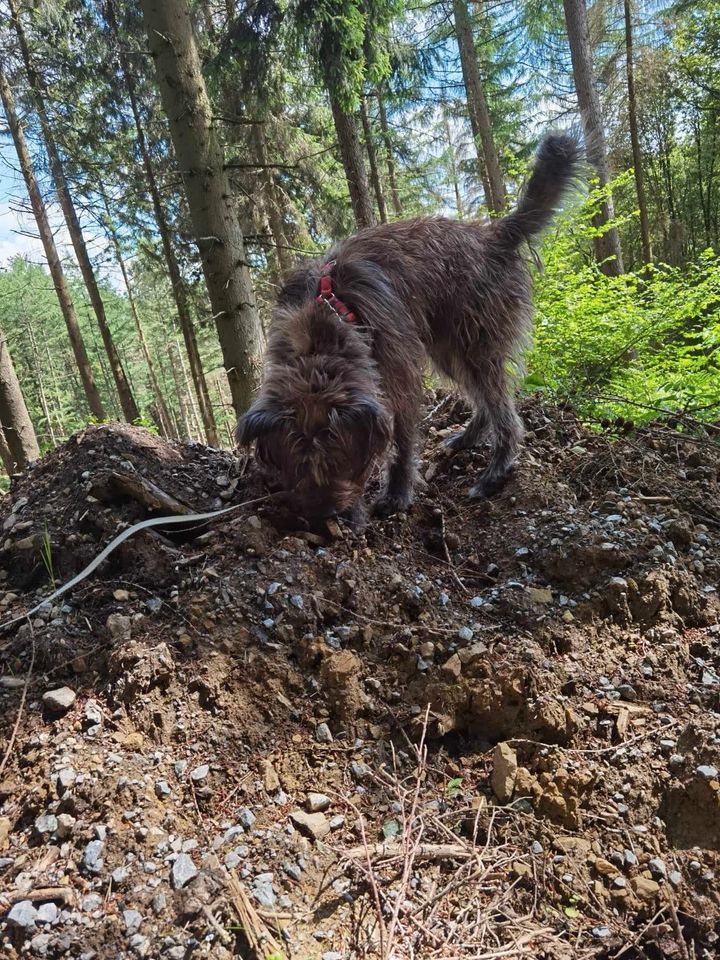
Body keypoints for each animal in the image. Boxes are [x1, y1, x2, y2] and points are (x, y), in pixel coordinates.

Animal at [239, 131, 584, 524]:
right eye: (297, 463)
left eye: (339, 459)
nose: (325, 515)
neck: (325, 317)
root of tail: (494, 235)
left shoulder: (398, 379)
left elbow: (403, 441)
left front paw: (396, 494)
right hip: (450, 349)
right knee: (484, 399)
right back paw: (468, 437)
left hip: (476, 343)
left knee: (505, 413)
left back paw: (493, 474)